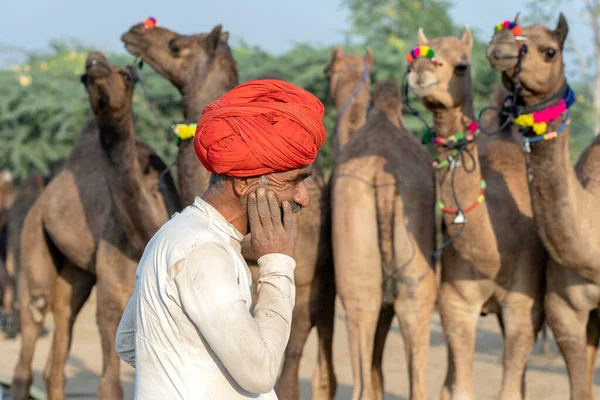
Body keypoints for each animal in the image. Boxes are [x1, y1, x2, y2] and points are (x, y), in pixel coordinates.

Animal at [11, 50, 180, 400]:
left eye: (127, 76)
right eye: (83, 78)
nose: (95, 61)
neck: (145, 234)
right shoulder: (112, 294)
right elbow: (110, 385)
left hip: (75, 270)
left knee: (63, 321)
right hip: (33, 231)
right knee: (35, 314)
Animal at [408, 26, 548, 398]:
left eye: (462, 65)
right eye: (412, 58)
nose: (421, 72)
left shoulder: (524, 307)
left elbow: (511, 389)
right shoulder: (456, 305)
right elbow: (460, 388)